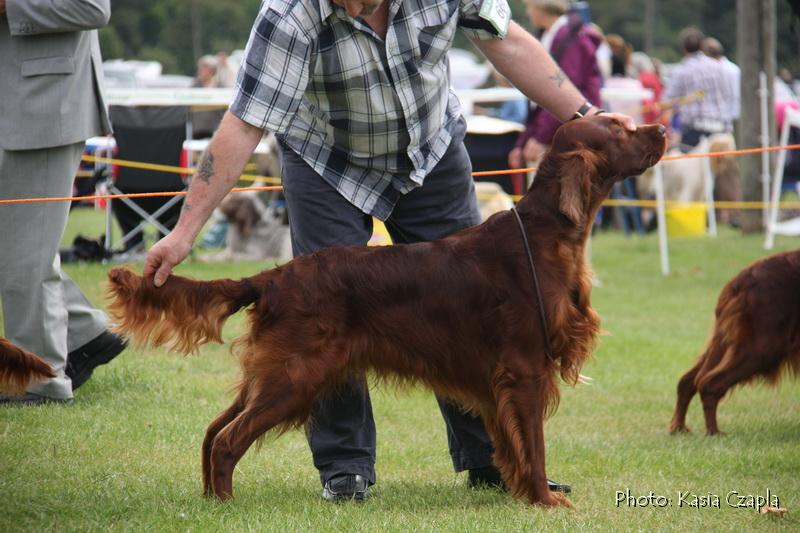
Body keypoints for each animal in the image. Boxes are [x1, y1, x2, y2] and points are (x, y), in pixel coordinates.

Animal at [108, 117, 668, 508]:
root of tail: (273, 276)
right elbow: (534, 443)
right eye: (619, 127)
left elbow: (509, 444)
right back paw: (224, 503)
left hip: (270, 374)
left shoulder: (497, 380)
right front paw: (545, 500)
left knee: (212, 431)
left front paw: (516, 491)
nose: (662, 128)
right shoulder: (525, 368)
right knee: (227, 440)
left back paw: (208, 498)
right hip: (295, 376)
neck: (545, 235)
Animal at [668, 251, 800, 434]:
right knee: (709, 384)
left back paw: (679, 427)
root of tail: (738, 282)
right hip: (763, 347)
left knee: (686, 382)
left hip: (725, 341)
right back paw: (713, 433)